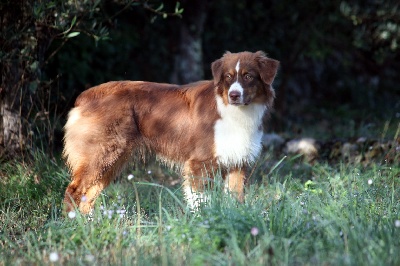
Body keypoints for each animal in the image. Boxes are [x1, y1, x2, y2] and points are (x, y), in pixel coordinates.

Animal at [64, 51, 280, 213]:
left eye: (248, 76)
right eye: (228, 77)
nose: (234, 95)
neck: (234, 111)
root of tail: (85, 95)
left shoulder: (237, 161)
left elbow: (235, 200)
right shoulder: (199, 163)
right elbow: (200, 201)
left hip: (112, 160)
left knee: (87, 195)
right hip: (102, 154)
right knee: (73, 191)